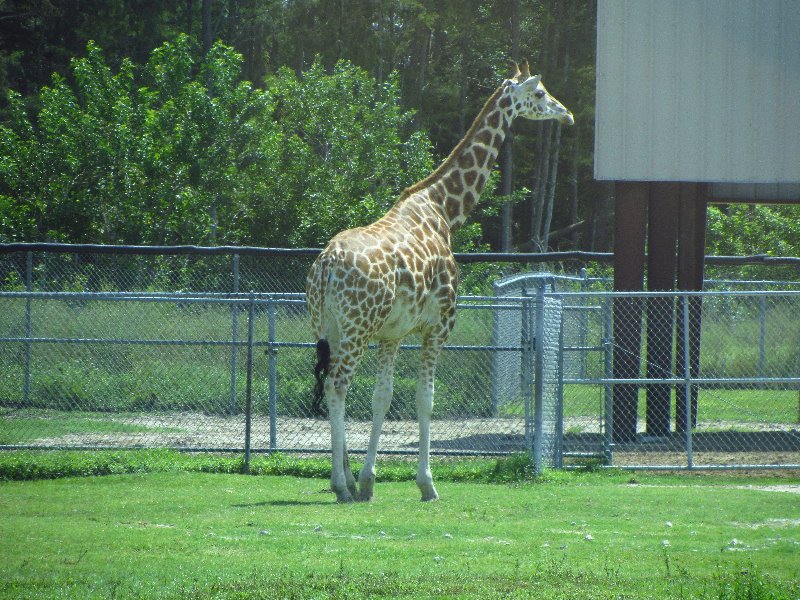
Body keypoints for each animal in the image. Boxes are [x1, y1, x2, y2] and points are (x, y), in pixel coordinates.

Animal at [304, 61, 572, 502]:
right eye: (540, 93)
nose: (566, 114)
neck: (444, 210)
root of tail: (326, 264)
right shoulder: (440, 325)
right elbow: (425, 399)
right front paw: (427, 484)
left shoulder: (392, 333)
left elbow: (382, 398)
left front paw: (369, 480)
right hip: (356, 328)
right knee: (337, 387)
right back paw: (340, 485)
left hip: (328, 327)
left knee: (330, 385)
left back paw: (345, 480)